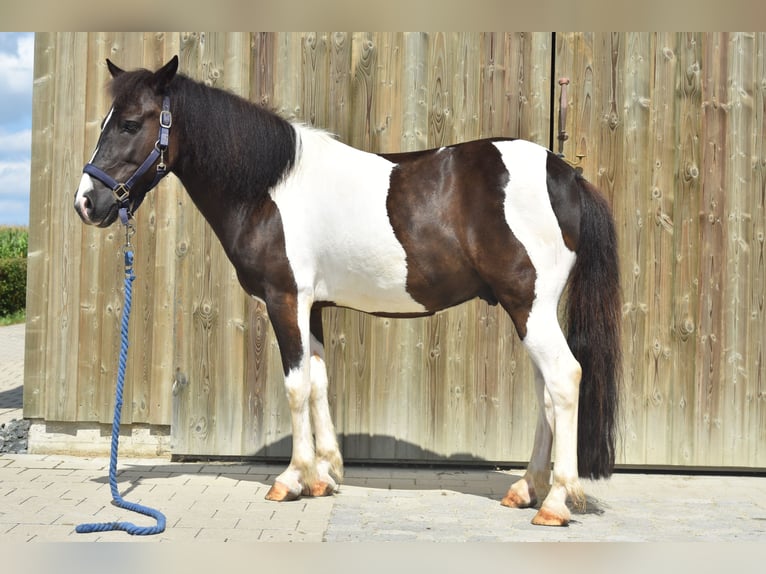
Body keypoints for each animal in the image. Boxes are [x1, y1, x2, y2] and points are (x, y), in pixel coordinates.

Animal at [75, 56, 620, 528]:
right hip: (527, 310)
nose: (86, 202)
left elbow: (295, 386)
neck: (270, 188)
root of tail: (566, 174)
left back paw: (554, 501)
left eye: (130, 124)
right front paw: (325, 476)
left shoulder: (285, 299)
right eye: (106, 121)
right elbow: (318, 381)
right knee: (546, 392)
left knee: (564, 379)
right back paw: (525, 488)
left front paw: (291, 479)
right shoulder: (312, 305)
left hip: (529, 307)